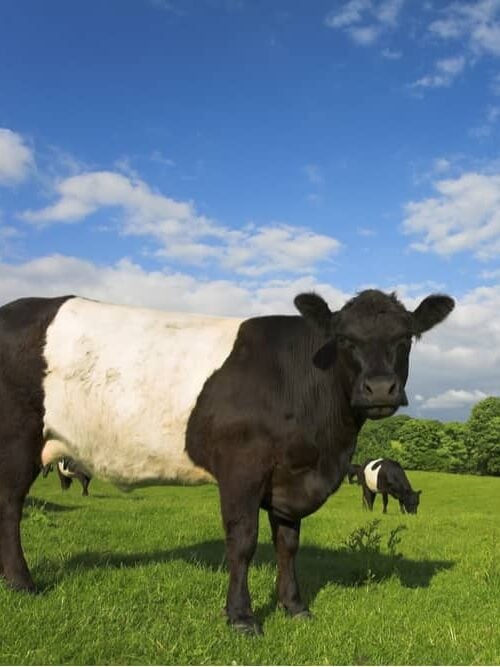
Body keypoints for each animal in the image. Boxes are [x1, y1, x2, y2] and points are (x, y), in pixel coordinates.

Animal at [0, 289, 454, 634]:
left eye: (407, 337)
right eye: (344, 339)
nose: (380, 388)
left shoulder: (289, 478)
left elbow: (288, 543)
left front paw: (294, 606)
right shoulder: (242, 468)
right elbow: (243, 541)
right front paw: (241, 617)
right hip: (17, 439)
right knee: (10, 507)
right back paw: (22, 583)